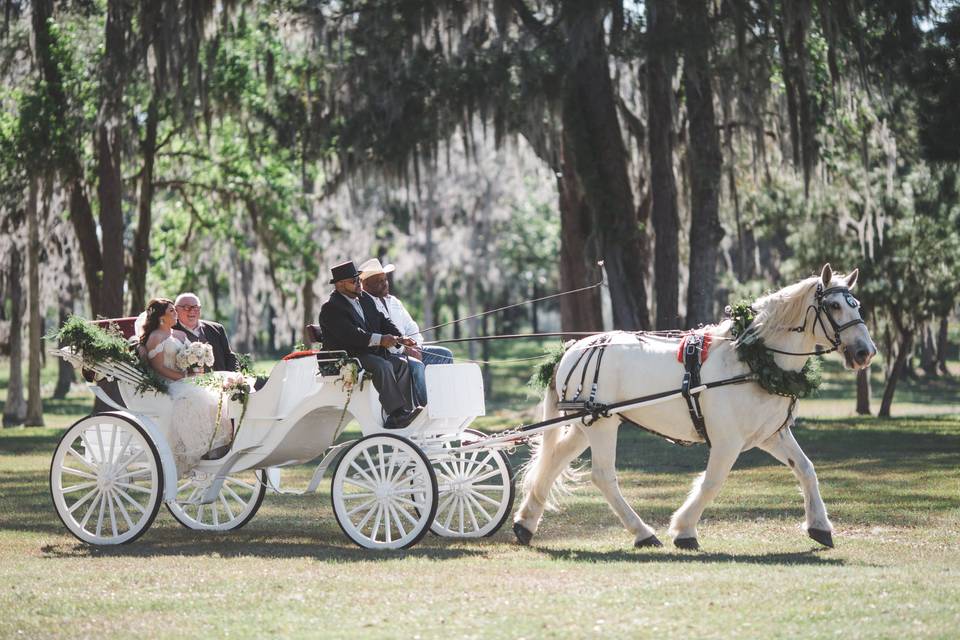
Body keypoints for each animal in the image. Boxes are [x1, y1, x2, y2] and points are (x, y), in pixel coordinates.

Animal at [516, 264, 876, 552]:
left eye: (856, 305)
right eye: (833, 305)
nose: (865, 351)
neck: (751, 360)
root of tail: (572, 348)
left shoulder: (771, 435)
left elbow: (805, 469)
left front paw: (820, 526)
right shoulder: (728, 441)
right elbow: (712, 481)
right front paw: (684, 529)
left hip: (585, 424)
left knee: (553, 461)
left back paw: (525, 523)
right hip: (602, 424)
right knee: (603, 476)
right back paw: (642, 532)